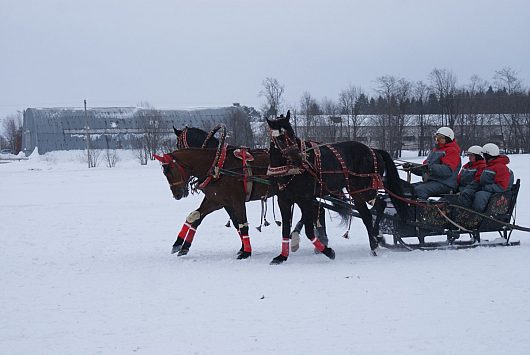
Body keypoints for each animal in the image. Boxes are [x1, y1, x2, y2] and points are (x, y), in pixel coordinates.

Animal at [266, 111, 406, 264]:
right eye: (279, 138)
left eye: (292, 133)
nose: (298, 159)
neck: (289, 170)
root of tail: (373, 150)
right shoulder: (284, 201)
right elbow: (285, 229)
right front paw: (282, 256)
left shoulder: (306, 199)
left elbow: (309, 229)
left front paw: (328, 251)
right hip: (356, 191)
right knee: (367, 215)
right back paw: (374, 243)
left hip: (366, 189)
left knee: (380, 205)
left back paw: (376, 237)